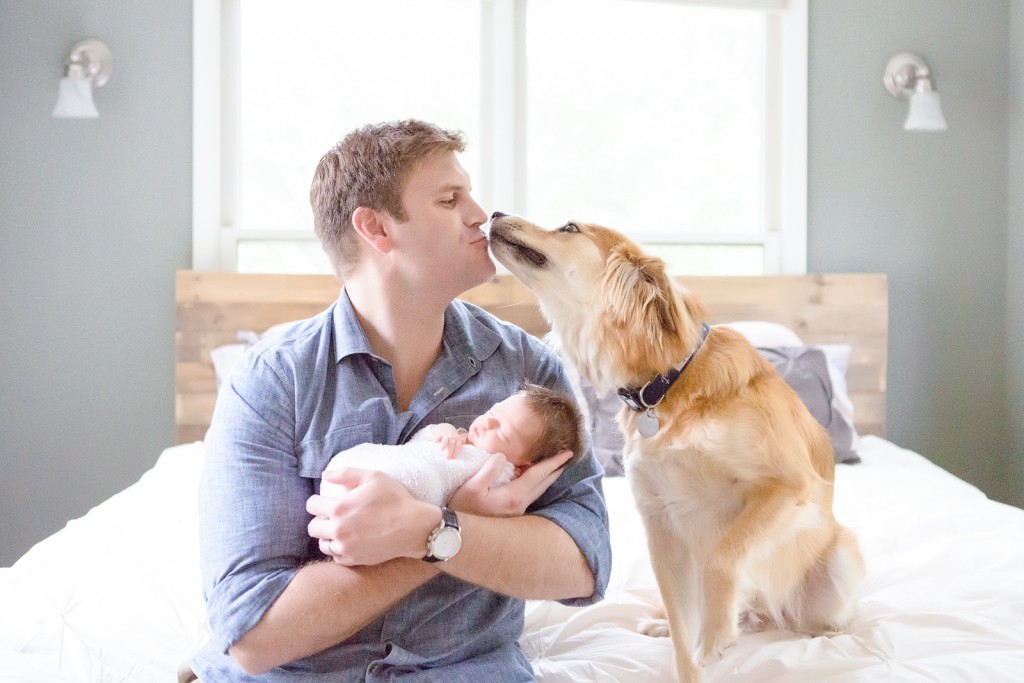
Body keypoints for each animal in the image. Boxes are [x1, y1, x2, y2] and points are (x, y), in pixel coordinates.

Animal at [487, 215, 864, 683]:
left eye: (569, 227)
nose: (494, 215)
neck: (666, 386)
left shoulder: (789, 485)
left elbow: (724, 556)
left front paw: (717, 634)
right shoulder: (661, 529)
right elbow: (685, 640)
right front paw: (692, 648)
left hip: (838, 569)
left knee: (806, 617)